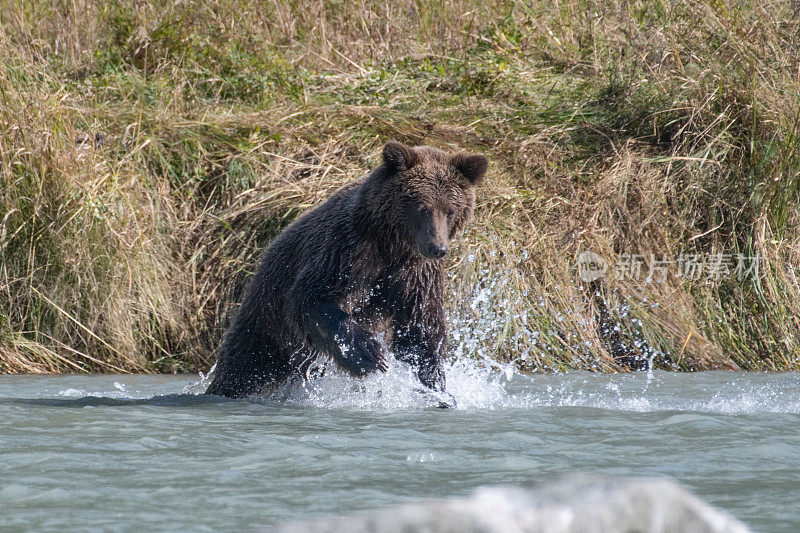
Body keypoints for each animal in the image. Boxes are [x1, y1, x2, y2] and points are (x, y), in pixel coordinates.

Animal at [206, 140, 488, 400]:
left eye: (451, 210)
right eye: (421, 206)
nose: (437, 247)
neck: (391, 245)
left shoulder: (414, 275)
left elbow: (419, 329)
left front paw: (436, 386)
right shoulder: (346, 251)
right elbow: (313, 298)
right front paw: (367, 353)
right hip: (269, 319)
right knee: (247, 362)